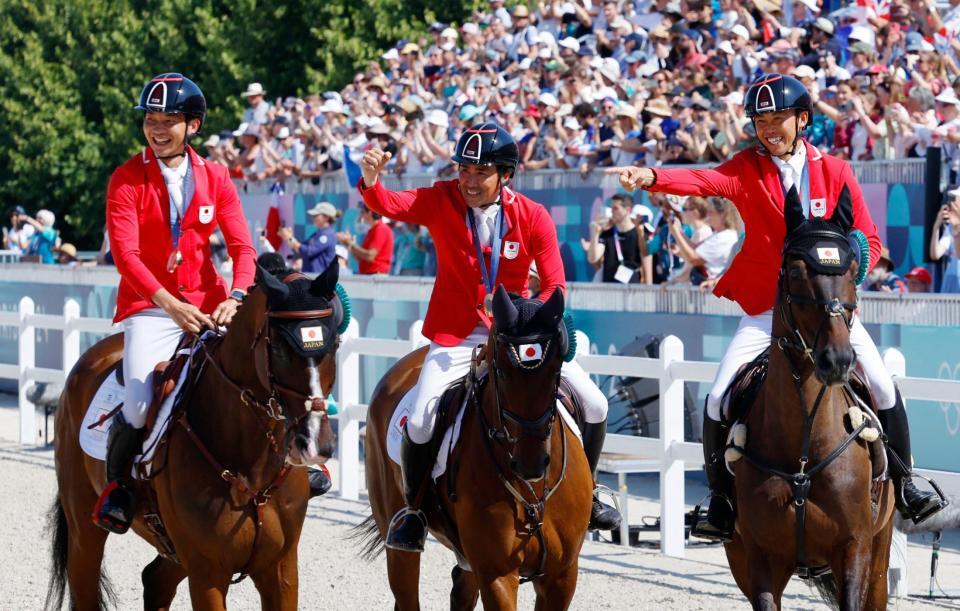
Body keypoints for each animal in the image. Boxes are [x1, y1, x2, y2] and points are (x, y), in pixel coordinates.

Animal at [47, 266, 344, 611]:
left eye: (334, 344)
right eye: (280, 348)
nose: (316, 443)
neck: (251, 466)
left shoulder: (281, 569)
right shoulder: (207, 573)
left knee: (155, 580)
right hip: (85, 529)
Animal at [358, 288, 592, 611]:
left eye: (556, 369)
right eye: (501, 372)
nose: (530, 464)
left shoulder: (562, 575)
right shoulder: (497, 574)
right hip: (398, 540)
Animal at [724, 188, 896, 611]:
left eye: (853, 271)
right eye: (796, 271)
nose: (837, 360)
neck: (804, 444)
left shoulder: (855, 548)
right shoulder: (760, 558)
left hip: (880, 554)